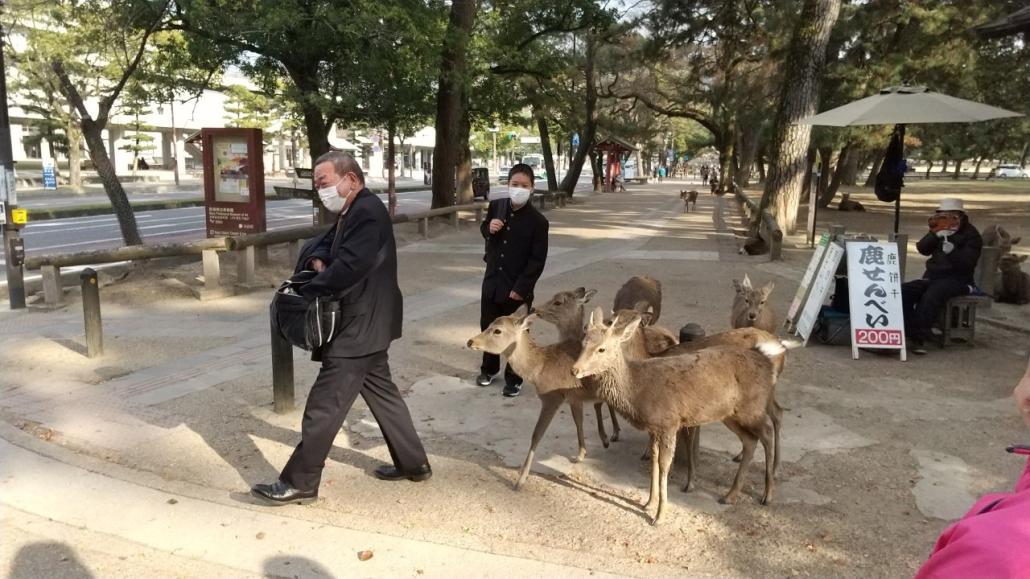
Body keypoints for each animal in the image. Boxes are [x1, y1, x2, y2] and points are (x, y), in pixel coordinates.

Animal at [469, 304, 613, 488]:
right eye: (489, 324)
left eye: (497, 330)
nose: (471, 341)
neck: (539, 370)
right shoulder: (573, 397)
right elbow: (578, 421)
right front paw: (580, 455)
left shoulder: (552, 398)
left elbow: (536, 434)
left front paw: (520, 481)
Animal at [572, 307, 778, 523]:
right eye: (583, 342)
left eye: (601, 349)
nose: (574, 370)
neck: (637, 390)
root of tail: (767, 363)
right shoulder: (654, 427)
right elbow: (654, 460)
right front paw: (649, 502)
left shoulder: (669, 422)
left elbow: (664, 465)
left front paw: (660, 515)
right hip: (730, 413)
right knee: (750, 440)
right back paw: (730, 495)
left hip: (753, 406)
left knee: (768, 431)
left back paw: (768, 494)